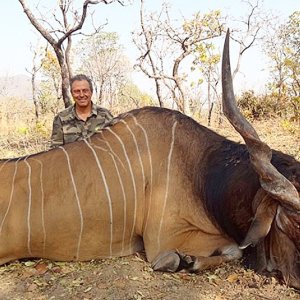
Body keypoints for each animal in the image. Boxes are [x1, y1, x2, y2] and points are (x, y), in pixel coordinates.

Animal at [0, 30, 298, 288]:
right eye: (290, 222)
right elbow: (231, 251)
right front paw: (183, 261)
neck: (200, 169)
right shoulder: (165, 237)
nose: (296, 280)